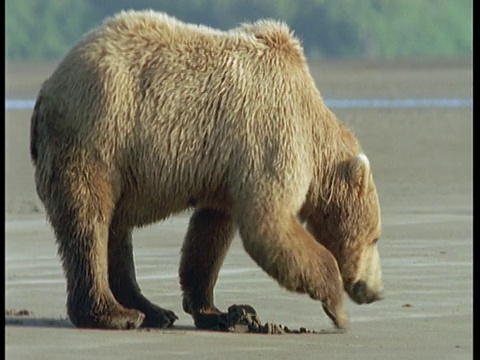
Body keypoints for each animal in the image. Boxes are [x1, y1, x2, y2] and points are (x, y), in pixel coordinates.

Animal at [30, 9, 382, 330]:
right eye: (376, 237)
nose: (375, 291)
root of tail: (49, 87)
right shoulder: (272, 135)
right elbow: (269, 224)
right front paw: (337, 307)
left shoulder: (225, 171)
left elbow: (209, 236)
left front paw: (221, 313)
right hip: (99, 135)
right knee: (90, 222)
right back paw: (116, 314)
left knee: (115, 230)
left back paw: (153, 310)